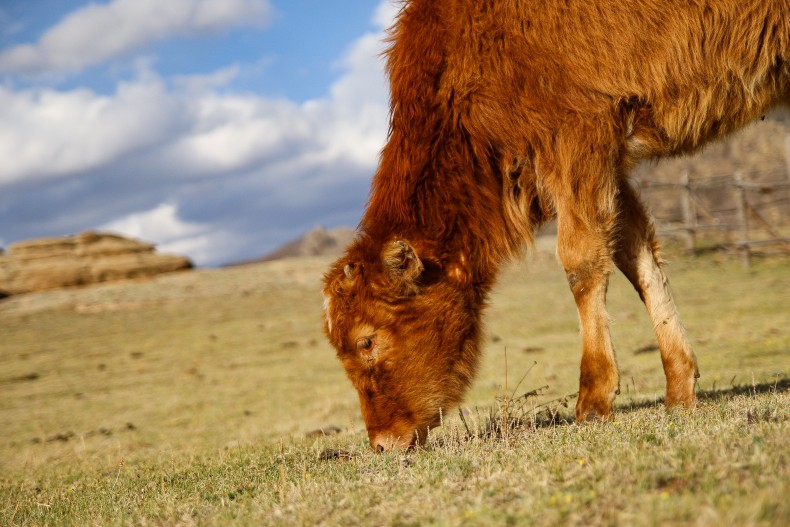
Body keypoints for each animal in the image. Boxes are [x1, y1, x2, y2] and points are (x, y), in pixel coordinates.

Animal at [322, 1, 790, 450]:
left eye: (367, 341)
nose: (382, 443)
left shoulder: (576, 140)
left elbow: (581, 262)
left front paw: (593, 399)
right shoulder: (607, 167)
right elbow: (637, 256)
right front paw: (679, 388)